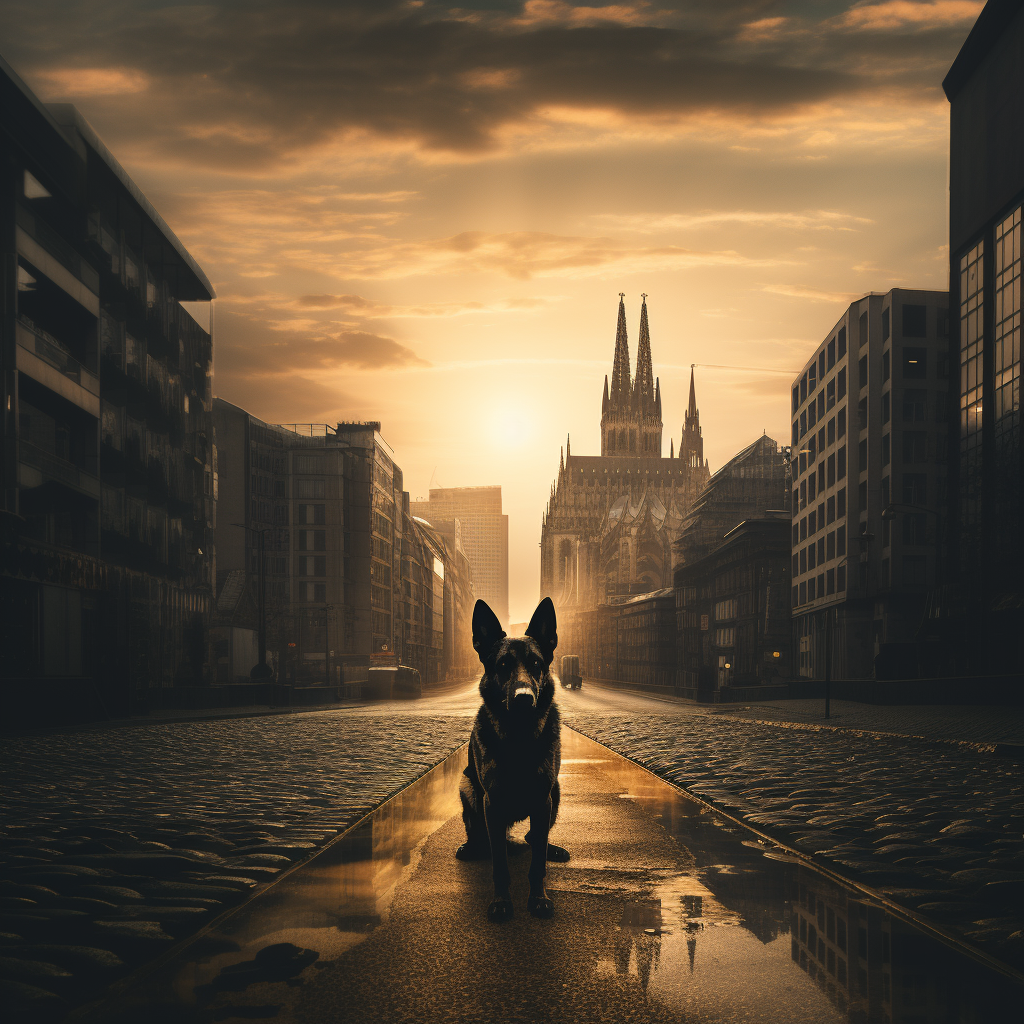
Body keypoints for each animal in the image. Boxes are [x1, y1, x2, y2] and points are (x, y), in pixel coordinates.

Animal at [456, 598, 569, 925]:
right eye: (503, 665)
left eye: (536, 664)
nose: (523, 698)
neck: (519, 736)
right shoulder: (491, 803)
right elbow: (500, 866)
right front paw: (501, 903)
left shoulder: (543, 800)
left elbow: (537, 864)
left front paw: (539, 899)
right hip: (467, 789)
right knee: (483, 838)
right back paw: (471, 847)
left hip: (555, 792)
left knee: (534, 838)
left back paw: (551, 849)